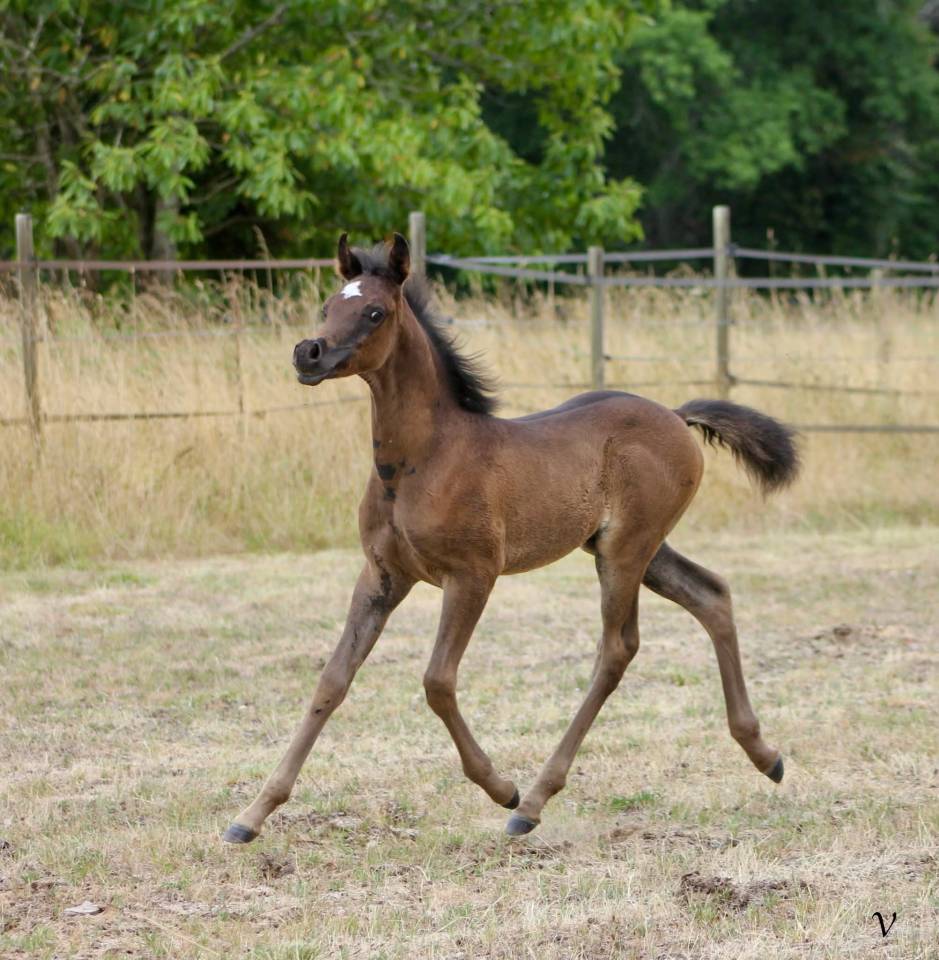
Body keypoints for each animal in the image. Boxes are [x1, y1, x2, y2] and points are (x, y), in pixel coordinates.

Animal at [223, 233, 799, 844]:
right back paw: (764, 754)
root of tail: (675, 413)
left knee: (617, 648)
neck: (424, 459)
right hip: (634, 548)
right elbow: (333, 680)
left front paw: (501, 788)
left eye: (374, 312)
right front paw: (252, 815)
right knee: (710, 595)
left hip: (626, 551)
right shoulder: (382, 575)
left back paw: (535, 800)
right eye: (328, 305)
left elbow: (437, 681)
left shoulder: (473, 575)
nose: (307, 354)